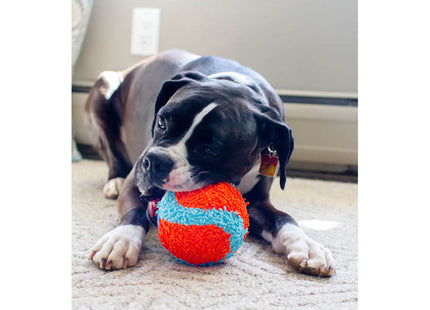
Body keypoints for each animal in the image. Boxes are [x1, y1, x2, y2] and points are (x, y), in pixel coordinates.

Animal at [85, 49, 334, 278]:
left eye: (210, 150)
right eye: (162, 121)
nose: (155, 161)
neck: (237, 84)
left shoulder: (257, 203)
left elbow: (284, 218)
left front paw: (307, 245)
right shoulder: (135, 183)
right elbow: (135, 212)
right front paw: (121, 239)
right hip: (104, 88)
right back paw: (114, 180)